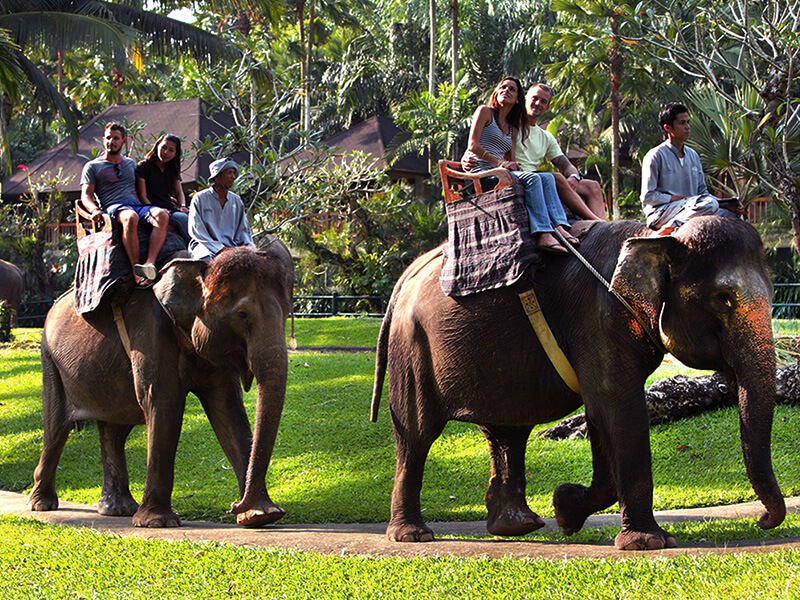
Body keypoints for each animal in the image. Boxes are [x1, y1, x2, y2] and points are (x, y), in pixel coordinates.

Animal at [28, 241, 296, 528]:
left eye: (287, 313)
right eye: (242, 315)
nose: (232, 506)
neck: (198, 269)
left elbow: (228, 410)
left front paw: (262, 515)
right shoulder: (150, 331)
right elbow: (163, 402)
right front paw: (157, 522)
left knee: (114, 429)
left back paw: (118, 509)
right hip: (50, 359)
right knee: (57, 426)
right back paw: (42, 504)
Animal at [372, 218, 784, 552]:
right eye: (723, 299)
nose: (762, 520)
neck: (656, 237)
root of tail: (407, 273)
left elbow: (602, 414)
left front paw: (565, 510)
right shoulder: (598, 318)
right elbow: (618, 409)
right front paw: (647, 543)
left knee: (507, 430)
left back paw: (517, 527)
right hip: (412, 347)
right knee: (417, 434)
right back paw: (413, 535)